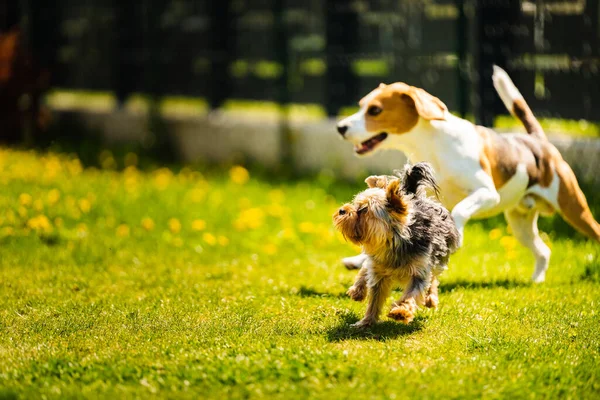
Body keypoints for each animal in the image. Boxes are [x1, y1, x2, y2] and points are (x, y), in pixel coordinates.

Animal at [332, 163, 460, 328]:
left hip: (438, 258)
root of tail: (412, 195)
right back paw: (357, 290)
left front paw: (401, 311)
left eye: (364, 210)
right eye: (355, 204)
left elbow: (413, 293)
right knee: (365, 266)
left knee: (433, 278)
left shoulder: (420, 271)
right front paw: (366, 322)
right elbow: (374, 299)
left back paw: (431, 299)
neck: (394, 241)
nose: (341, 210)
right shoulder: (378, 271)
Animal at [338, 66, 600, 284]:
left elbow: (460, 210)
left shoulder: (487, 193)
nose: (340, 127)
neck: (432, 144)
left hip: (574, 208)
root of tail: (537, 140)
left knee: (593, 230)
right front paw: (359, 260)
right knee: (544, 251)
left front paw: (456, 234)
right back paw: (536, 280)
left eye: (375, 110)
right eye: (361, 105)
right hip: (520, 224)